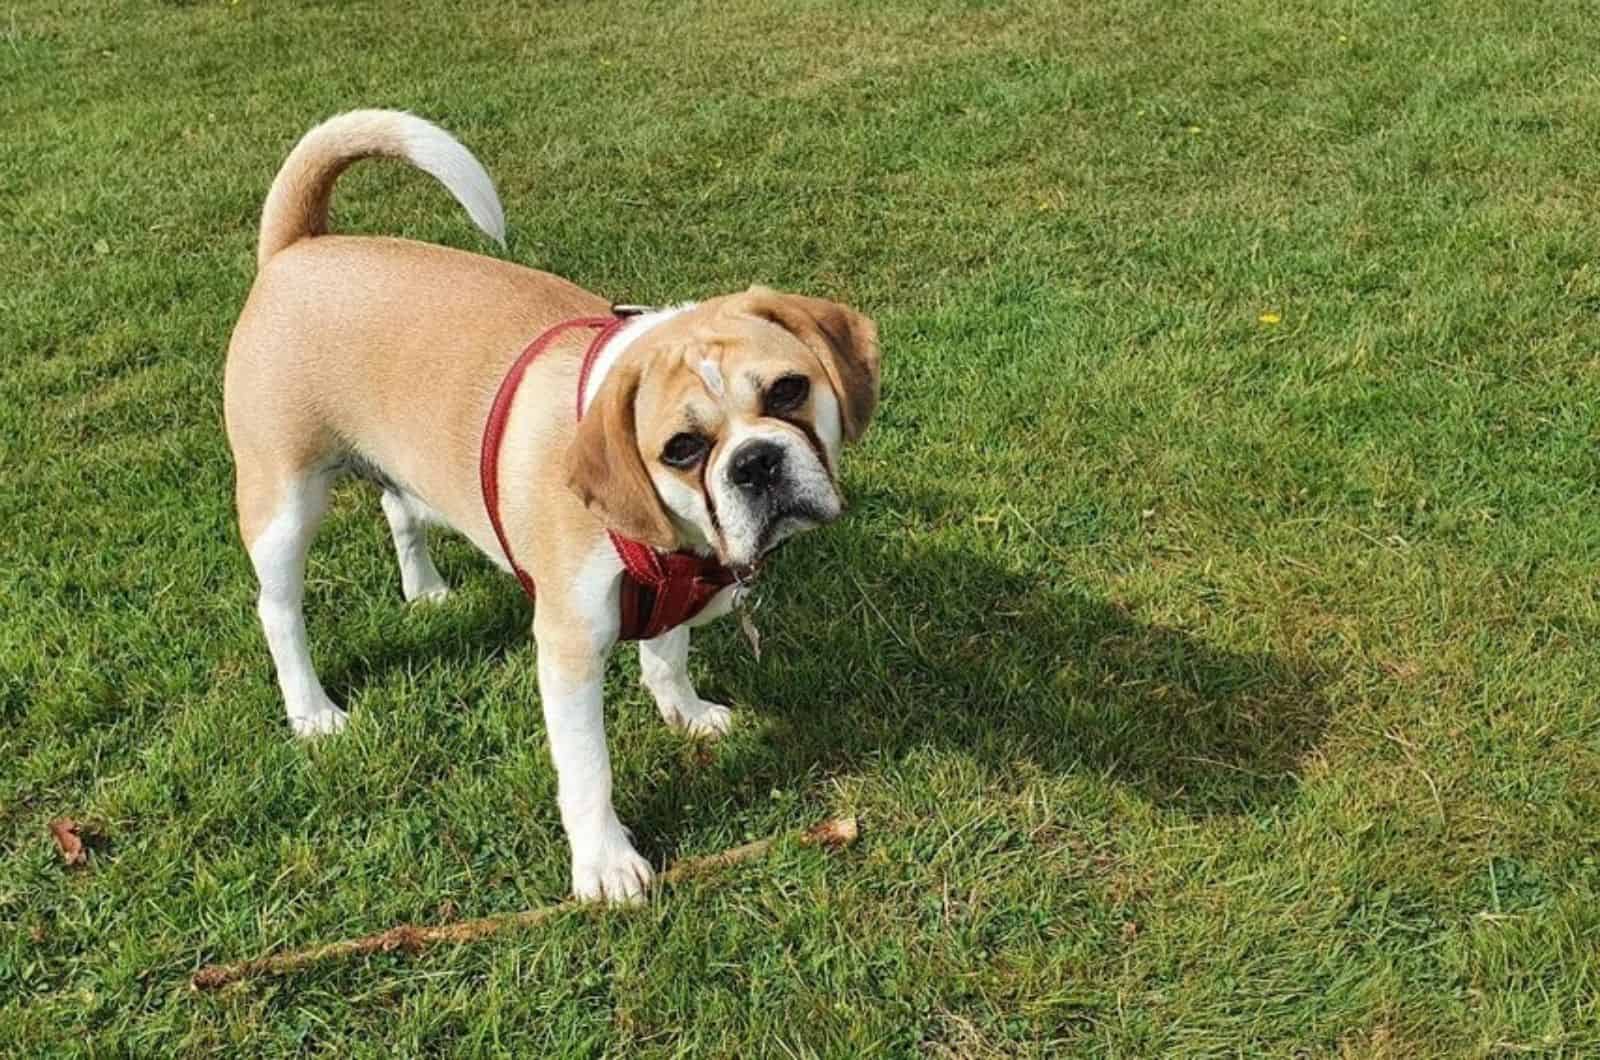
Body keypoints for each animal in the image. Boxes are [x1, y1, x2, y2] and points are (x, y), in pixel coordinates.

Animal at [224, 109, 883, 903]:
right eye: (682, 448)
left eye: (789, 390)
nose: (756, 463)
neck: (673, 537)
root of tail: (299, 244)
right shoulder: (569, 645)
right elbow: (586, 768)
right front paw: (605, 864)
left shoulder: (673, 594)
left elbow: (667, 661)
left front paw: (687, 714)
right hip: (282, 498)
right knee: (277, 610)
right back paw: (313, 710)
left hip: (399, 464)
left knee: (399, 511)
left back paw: (426, 591)